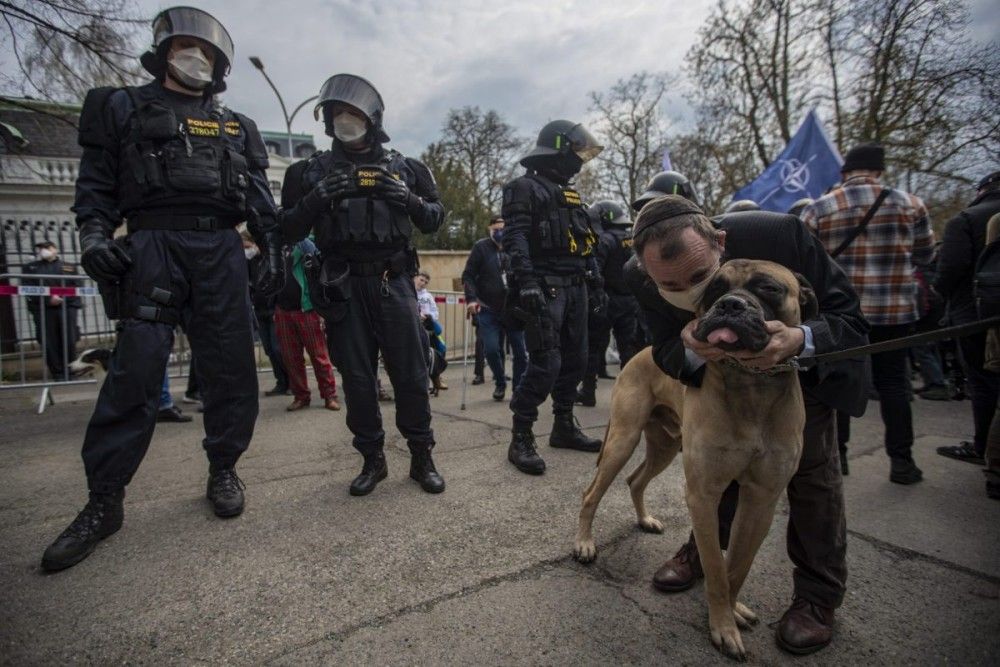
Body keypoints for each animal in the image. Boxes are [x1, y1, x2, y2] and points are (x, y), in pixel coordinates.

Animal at [576, 258, 816, 660]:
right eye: (714, 288)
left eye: (769, 288)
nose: (731, 305)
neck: (751, 383)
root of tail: (640, 352)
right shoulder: (703, 493)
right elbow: (716, 567)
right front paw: (722, 627)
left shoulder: (761, 499)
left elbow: (737, 565)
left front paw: (732, 611)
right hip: (623, 440)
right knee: (591, 493)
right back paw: (584, 543)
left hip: (665, 446)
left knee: (636, 480)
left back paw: (645, 519)